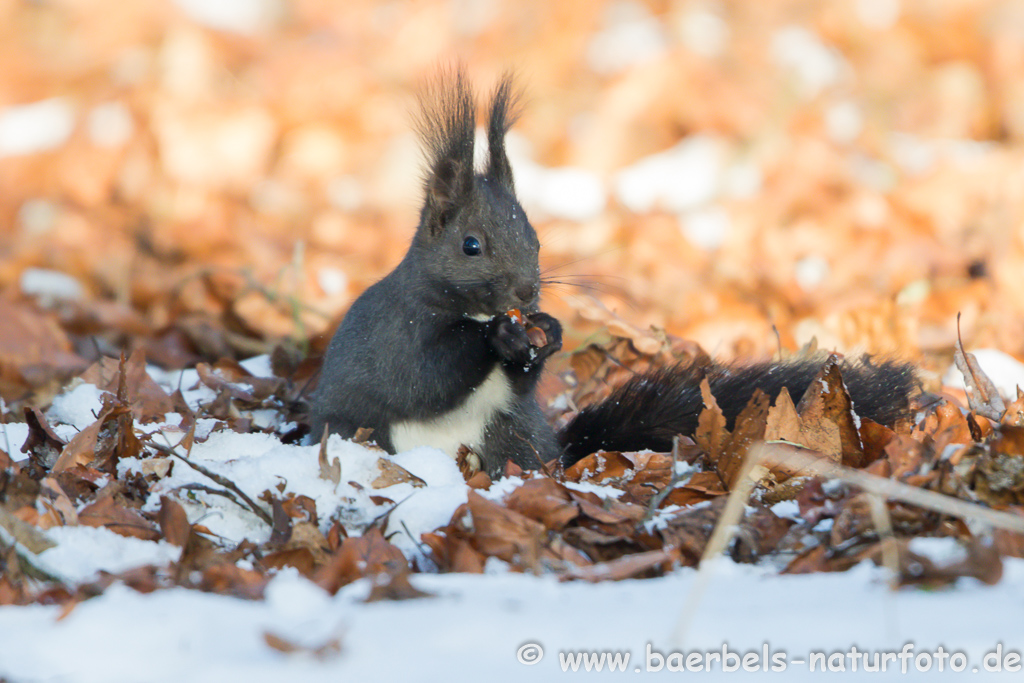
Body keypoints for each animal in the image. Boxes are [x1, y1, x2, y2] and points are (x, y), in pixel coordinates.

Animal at [307, 68, 917, 475]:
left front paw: (547, 335)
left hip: (514, 435)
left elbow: (518, 378)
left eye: (535, 237)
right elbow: (424, 376)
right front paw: (498, 337)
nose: (527, 294)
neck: (470, 310)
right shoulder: (400, 333)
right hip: (368, 432)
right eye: (470, 245)